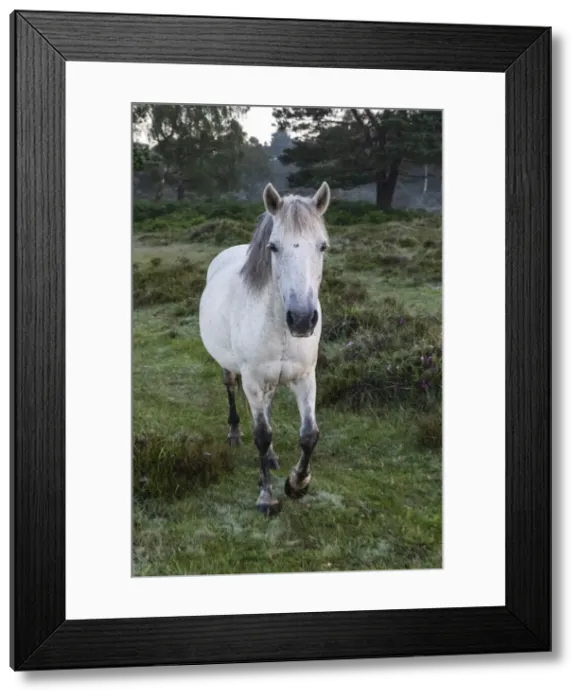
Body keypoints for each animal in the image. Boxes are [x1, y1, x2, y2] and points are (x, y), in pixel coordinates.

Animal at [198, 181, 331, 516]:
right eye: (273, 247)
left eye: (322, 246)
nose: (302, 319)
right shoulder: (253, 380)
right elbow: (261, 434)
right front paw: (266, 497)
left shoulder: (305, 377)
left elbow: (309, 434)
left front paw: (297, 483)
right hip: (231, 369)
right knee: (230, 389)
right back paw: (234, 433)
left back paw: (271, 458)